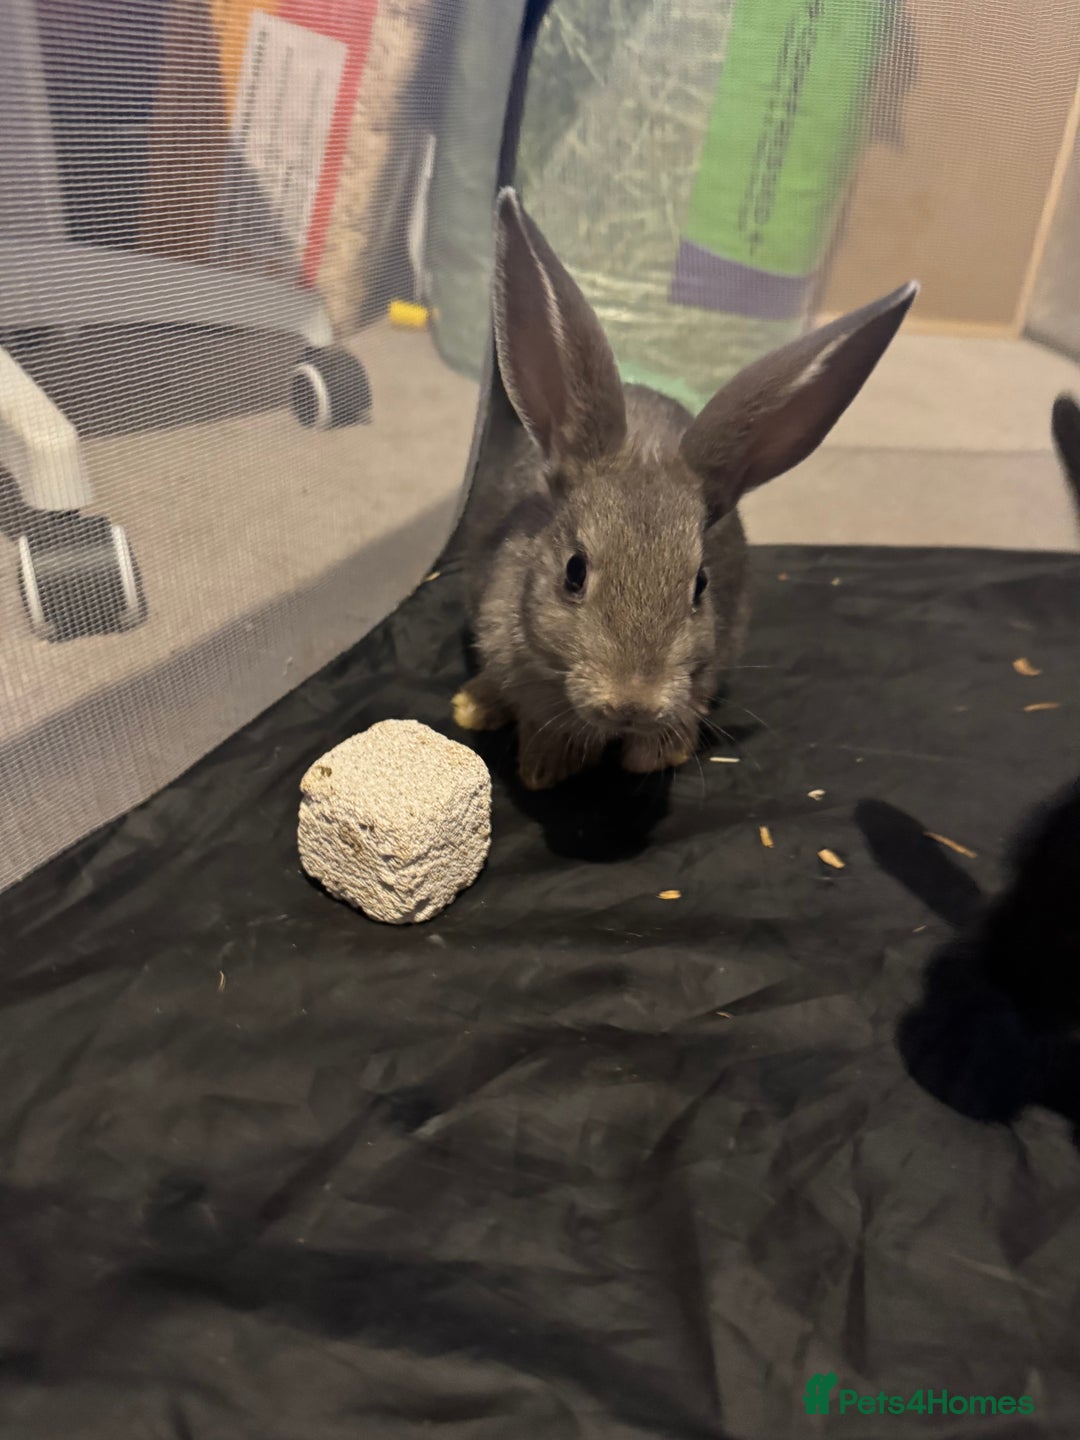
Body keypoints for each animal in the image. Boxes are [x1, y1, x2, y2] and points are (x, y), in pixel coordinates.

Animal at [453, 187, 918, 790]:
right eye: (574, 573)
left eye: (700, 585)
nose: (633, 703)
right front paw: (545, 768)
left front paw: (654, 756)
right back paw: (473, 705)